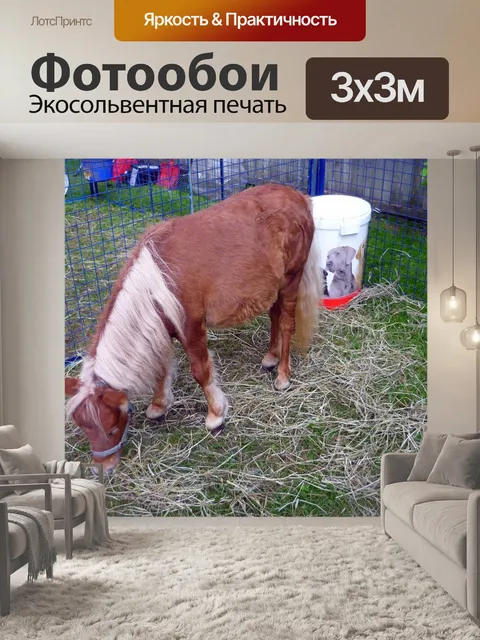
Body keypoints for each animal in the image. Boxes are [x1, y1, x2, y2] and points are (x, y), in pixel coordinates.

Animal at [65, 183, 324, 472]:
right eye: (85, 428)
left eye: (111, 428)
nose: (103, 468)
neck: (158, 278)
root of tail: (298, 197)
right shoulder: (162, 327)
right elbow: (161, 368)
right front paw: (159, 405)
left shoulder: (191, 328)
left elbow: (201, 372)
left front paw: (216, 415)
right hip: (274, 286)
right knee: (275, 316)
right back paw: (270, 357)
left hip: (291, 280)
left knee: (287, 324)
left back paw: (282, 376)